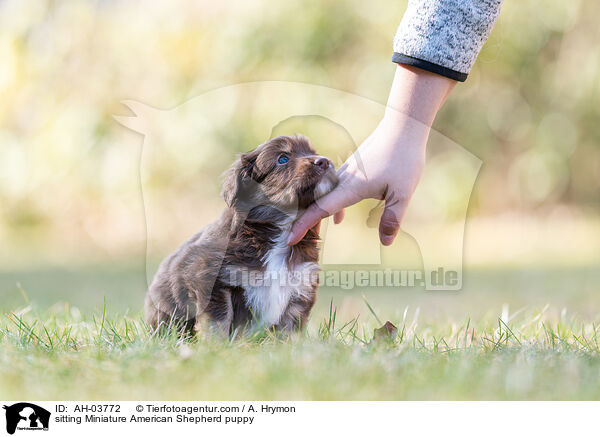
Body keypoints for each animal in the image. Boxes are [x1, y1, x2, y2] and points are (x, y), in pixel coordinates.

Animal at [145, 135, 338, 336]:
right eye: (283, 159)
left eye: (312, 152)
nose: (324, 161)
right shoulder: (211, 279)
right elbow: (219, 319)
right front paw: (217, 343)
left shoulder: (301, 285)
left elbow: (290, 328)